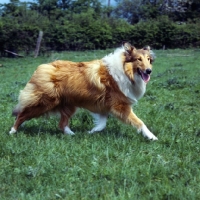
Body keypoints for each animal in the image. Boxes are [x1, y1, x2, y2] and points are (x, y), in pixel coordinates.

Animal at [9, 42, 159, 140]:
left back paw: (73, 135)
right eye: (138, 59)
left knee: (62, 124)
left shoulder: (104, 106)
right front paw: (152, 137)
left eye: (149, 60)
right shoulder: (120, 106)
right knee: (21, 115)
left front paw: (91, 132)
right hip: (45, 102)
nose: (149, 71)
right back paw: (12, 131)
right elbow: (139, 122)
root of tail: (43, 67)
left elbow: (102, 124)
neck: (125, 71)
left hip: (68, 105)